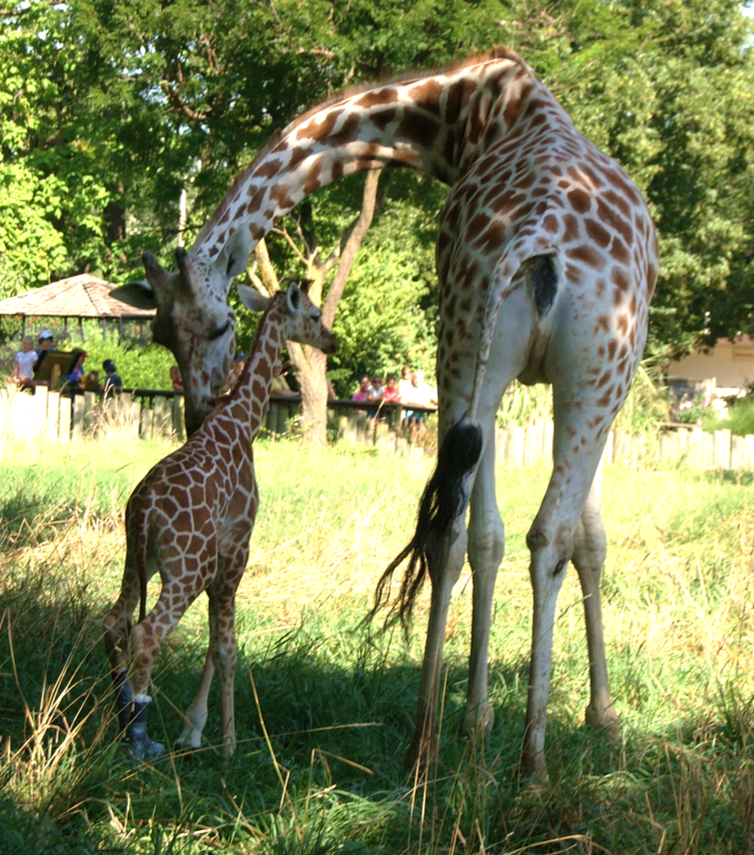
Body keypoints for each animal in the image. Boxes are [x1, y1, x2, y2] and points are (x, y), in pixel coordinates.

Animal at [103, 280, 338, 756]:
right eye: (313, 314)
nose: (332, 341)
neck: (244, 421)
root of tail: (145, 509)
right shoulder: (237, 544)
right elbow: (227, 644)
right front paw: (226, 743)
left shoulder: (219, 556)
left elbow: (215, 639)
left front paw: (194, 729)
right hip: (186, 569)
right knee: (146, 633)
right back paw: (141, 739)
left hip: (137, 561)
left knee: (113, 623)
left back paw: (123, 719)